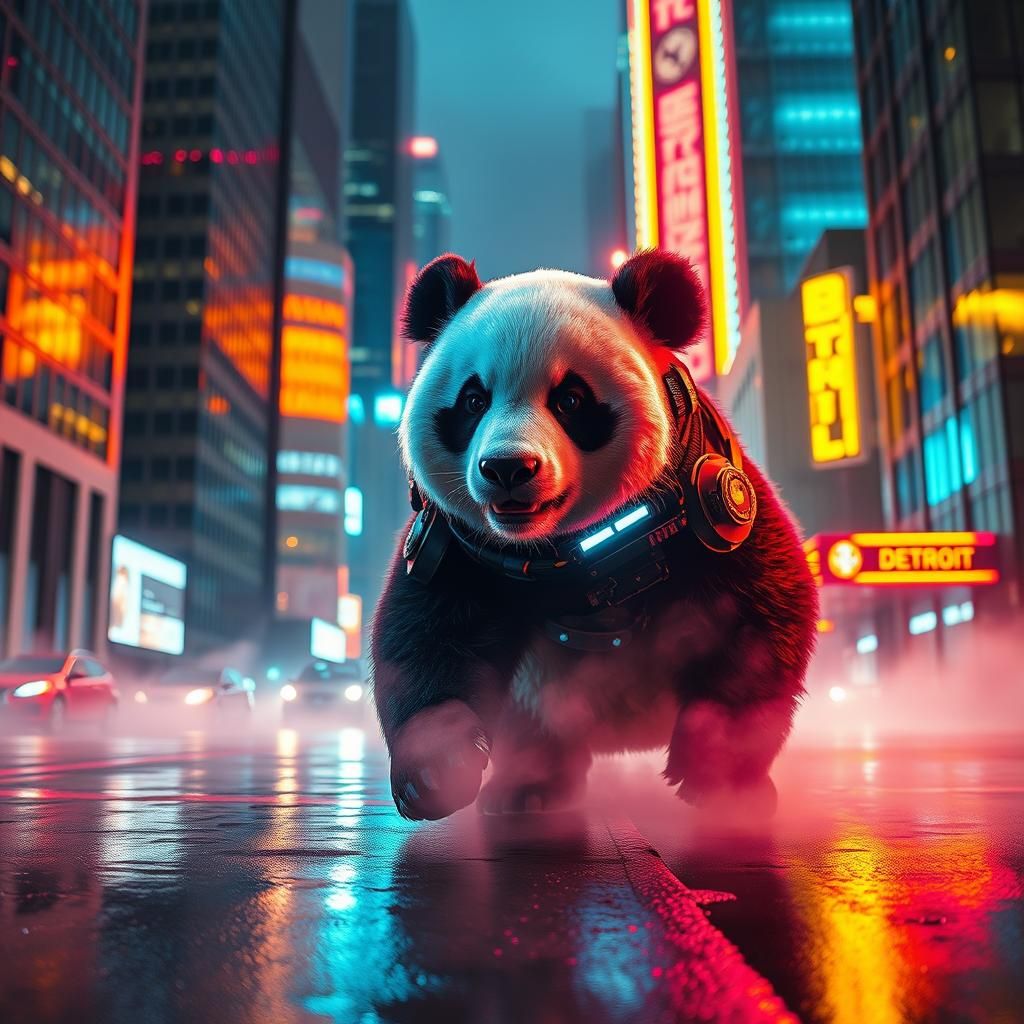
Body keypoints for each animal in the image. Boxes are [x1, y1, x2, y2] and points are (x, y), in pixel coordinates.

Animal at [370, 249, 818, 821]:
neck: (581, 550)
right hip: (540, 690)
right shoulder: (456, 542)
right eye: (473, 400)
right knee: (534, 727)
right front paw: (438, 767)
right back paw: (528, 789)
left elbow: (758, 618)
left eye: (570, 400)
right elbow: (424, 635)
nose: (508, 468)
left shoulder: (707, 498)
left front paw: (715, 772)